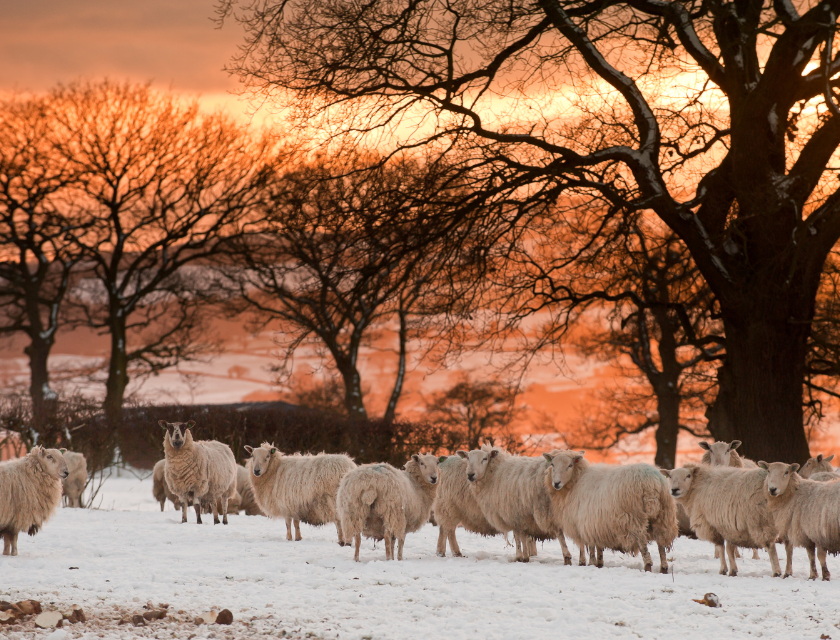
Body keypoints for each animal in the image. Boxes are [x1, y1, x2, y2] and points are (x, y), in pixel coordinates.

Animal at [545, 451, 677, 573]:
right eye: (552, 464)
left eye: (570, 465)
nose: (556, 483)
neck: (575, 482)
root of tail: (652, 483)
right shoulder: (596, 524)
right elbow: (598, 546)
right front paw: (599, 563)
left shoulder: (585, 522)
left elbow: (590, 546)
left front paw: (590, 563)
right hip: (663, 516)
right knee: (661, 543)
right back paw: (664, 567)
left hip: (634, 518)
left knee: (642, 542)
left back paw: (648, 566)